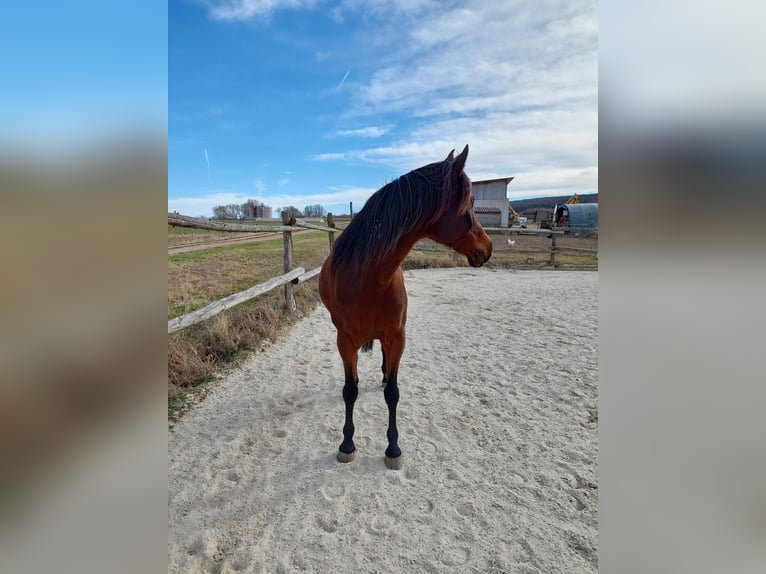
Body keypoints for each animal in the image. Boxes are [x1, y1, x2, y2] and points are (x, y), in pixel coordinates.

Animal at [316, 146, 492, 470]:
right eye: (471, 203)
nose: (488, 248)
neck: (370, 277)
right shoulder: (344, 341)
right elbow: (350, 390)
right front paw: (347, 444)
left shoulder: (398, 337)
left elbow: (393, 393)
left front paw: (393, 448)